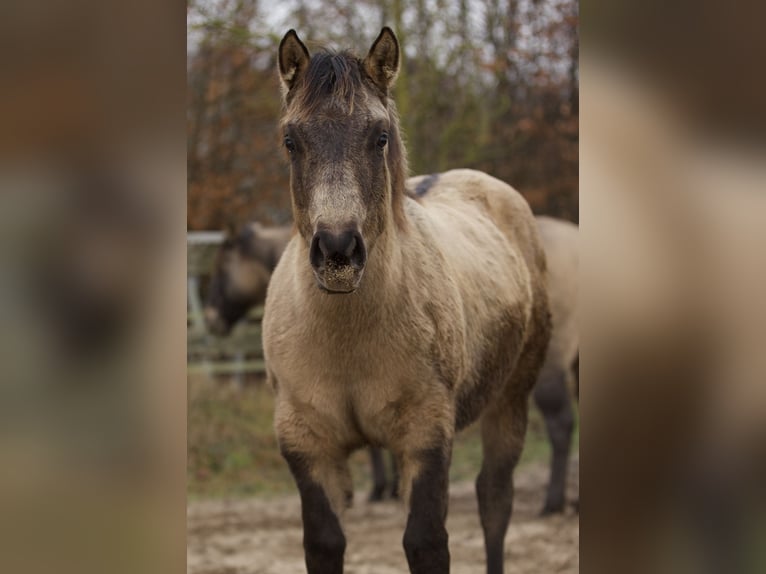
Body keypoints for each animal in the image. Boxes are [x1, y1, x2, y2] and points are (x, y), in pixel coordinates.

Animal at [264, 28, 552, 574]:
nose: (338, 252)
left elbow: (426, 542)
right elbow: (324, 542)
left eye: (379, 137)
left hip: (512, 398)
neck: (349, 337)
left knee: (495, 502)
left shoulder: (426, 436)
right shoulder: (307, 445)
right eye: (291, 141)